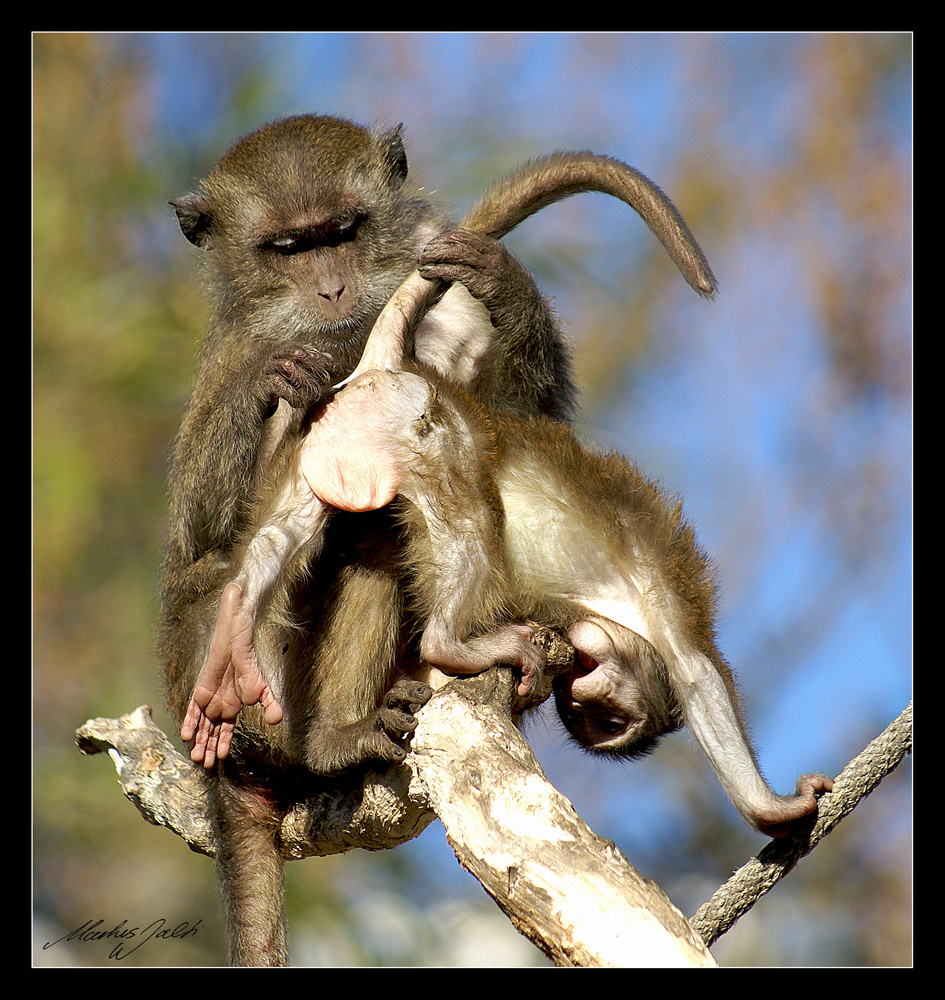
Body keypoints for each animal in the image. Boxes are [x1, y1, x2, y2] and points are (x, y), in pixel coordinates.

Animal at [160, 113, 716, 964]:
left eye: (343, 233)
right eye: (287, 249)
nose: (331, 290)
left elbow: (521, 430)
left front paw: (504, 286)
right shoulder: (230, 354)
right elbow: (195, 540)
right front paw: (276, 379)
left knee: (378, 540)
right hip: (256, 707)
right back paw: (334, 737)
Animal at [188, 246, 828, 840]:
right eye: (602, 716)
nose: (577, 695)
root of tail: (386, 367)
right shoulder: (666, 597)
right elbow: (699, 678)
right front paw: (776, 809)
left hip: (326, 442)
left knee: (286, 535)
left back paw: (237, 616)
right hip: (417, 419)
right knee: (468, 505)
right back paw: (450, 642)